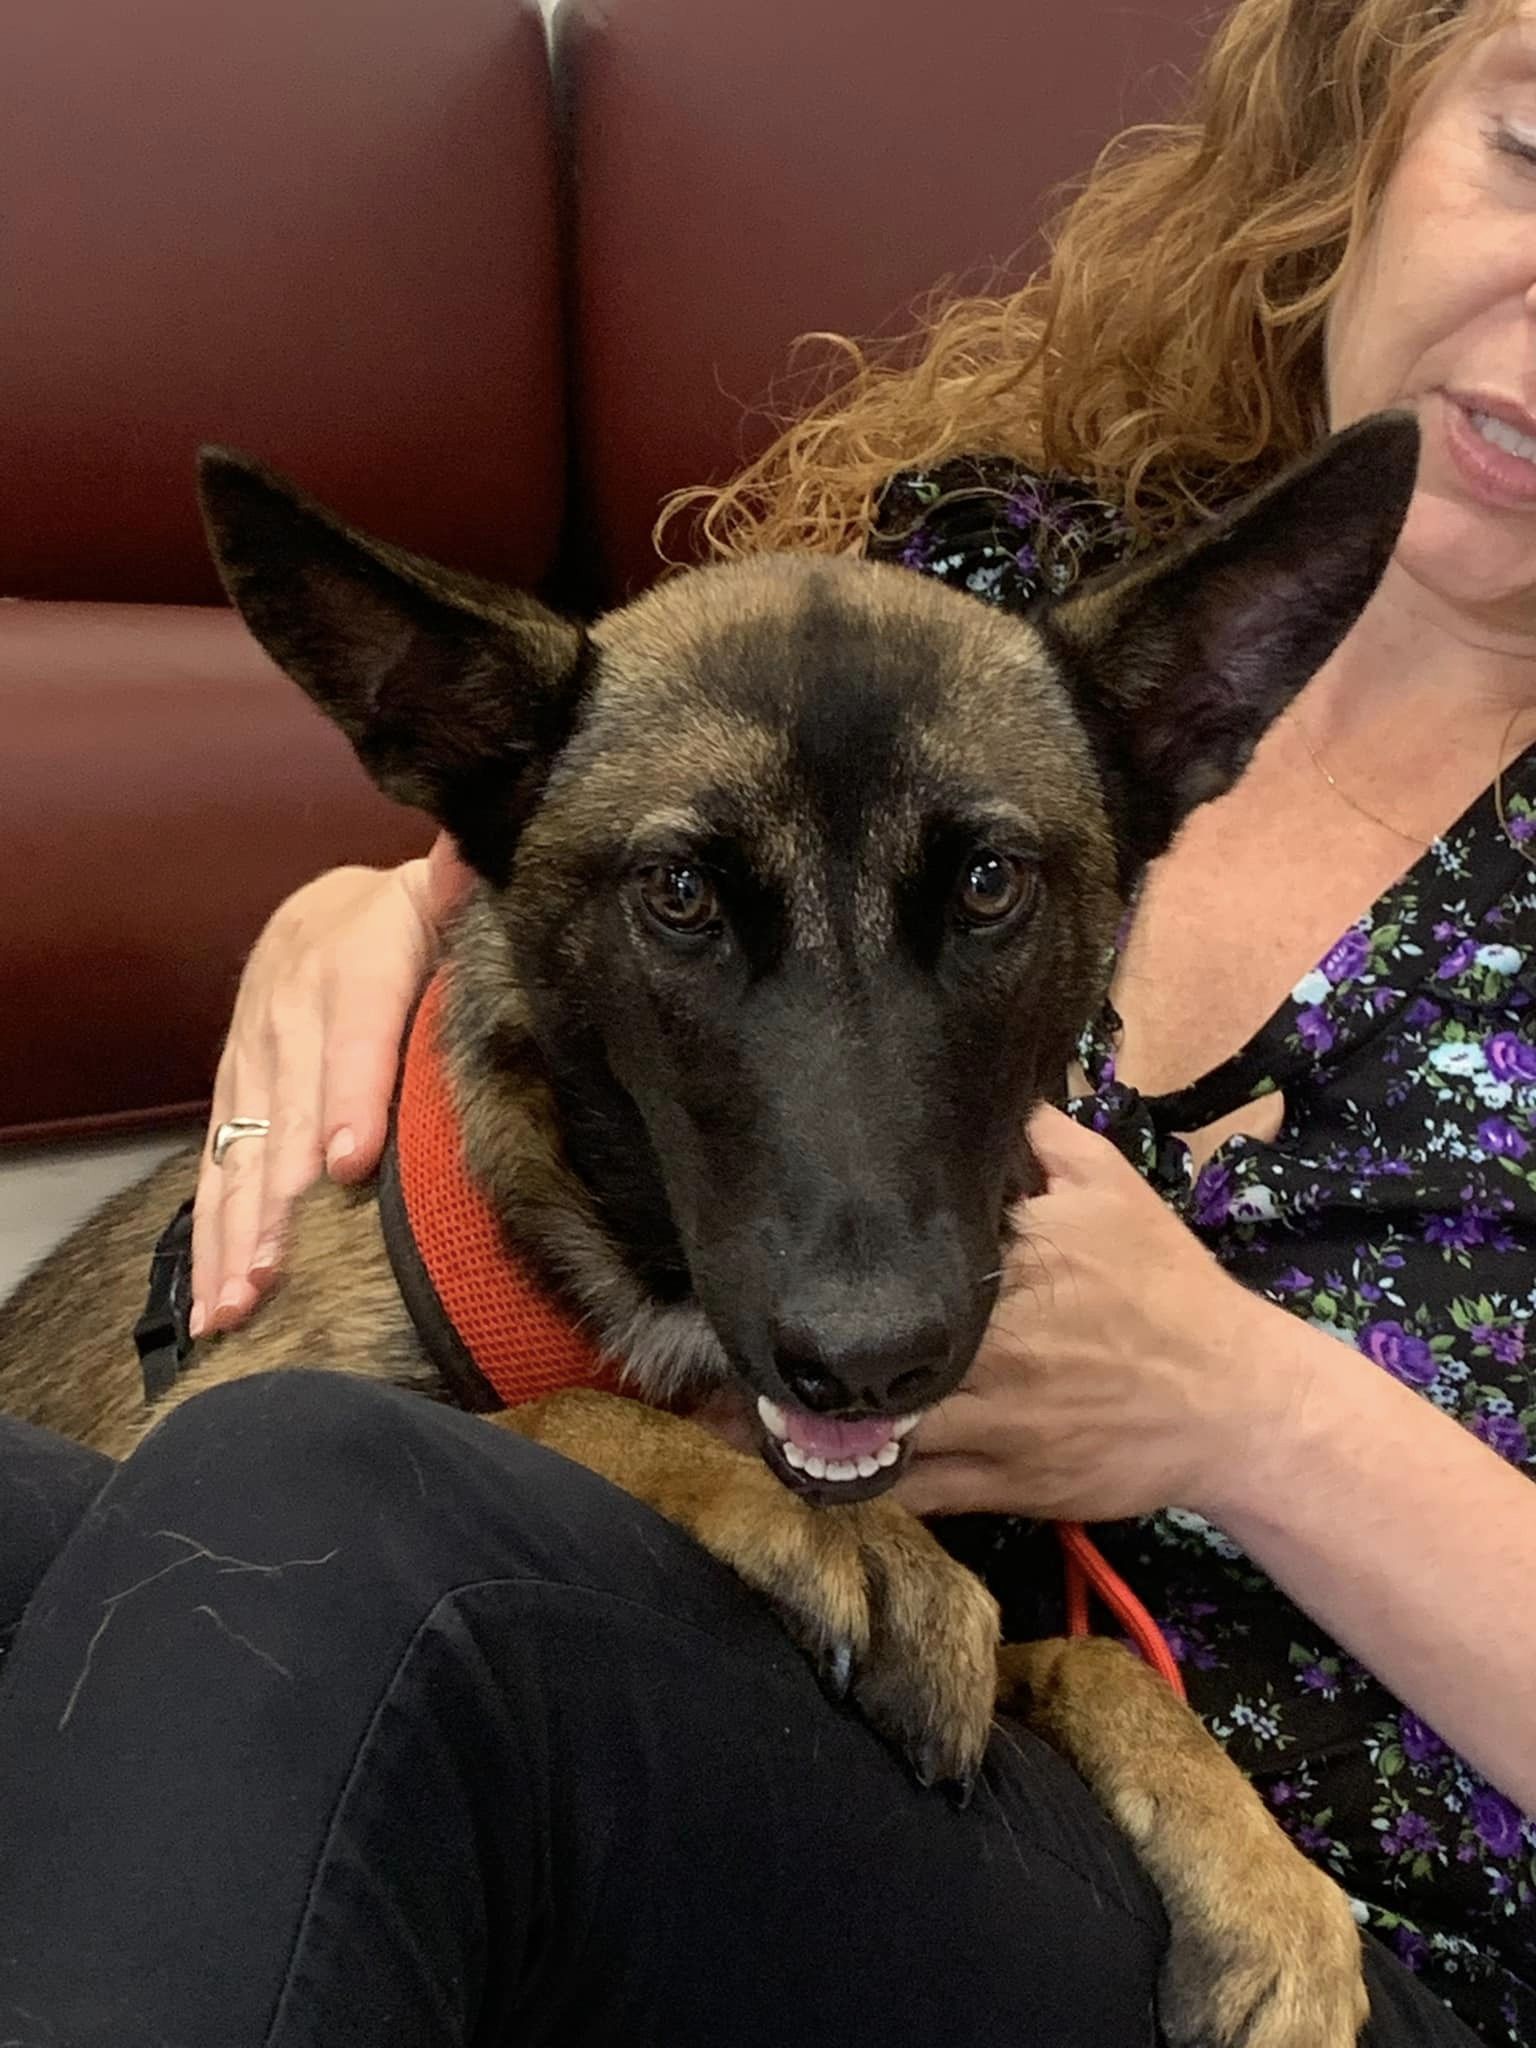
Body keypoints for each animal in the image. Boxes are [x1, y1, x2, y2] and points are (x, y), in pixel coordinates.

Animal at [0, 415, 1417, 2048]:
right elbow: (561, 1414)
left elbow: (1101, 1655)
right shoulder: (216, 1402)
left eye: (991, 883)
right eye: (678, 892)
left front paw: (1262, 1869)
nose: (865, 1363)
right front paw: (839, 1533)